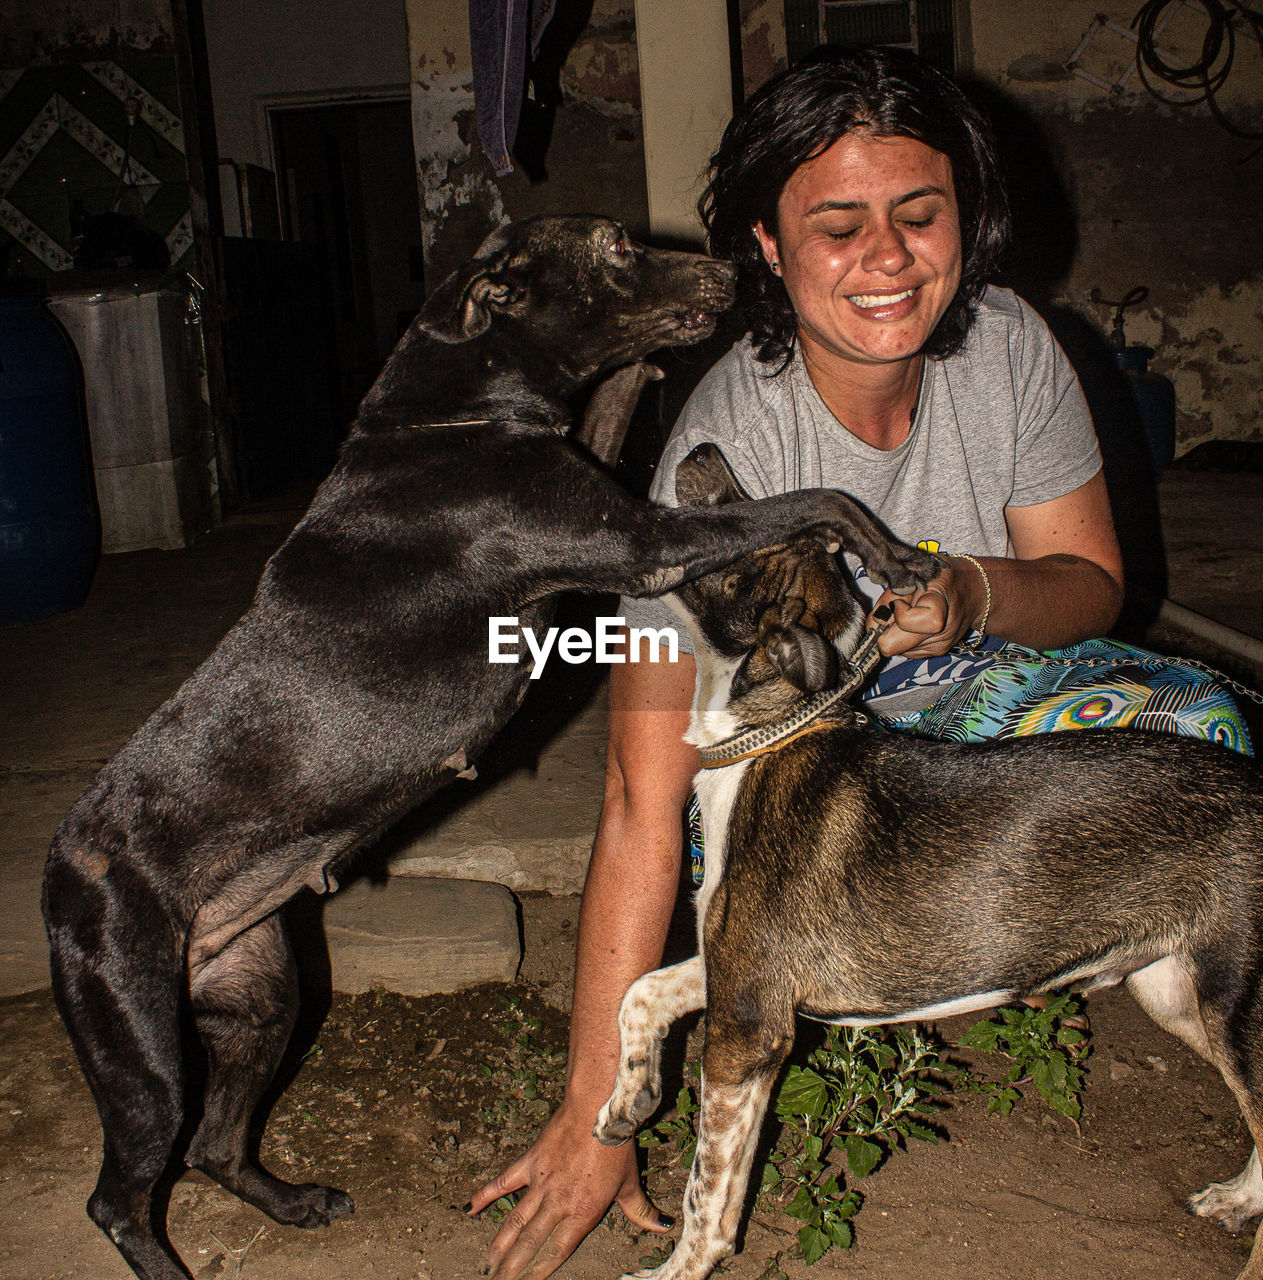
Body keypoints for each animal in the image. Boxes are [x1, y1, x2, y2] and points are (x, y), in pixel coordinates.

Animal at [39, 215, 936, 1274]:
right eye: (615, 248)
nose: (729, 271)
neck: (454, 416)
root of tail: (62, 870)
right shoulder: (642, 541)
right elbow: (821, 498)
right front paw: (886, 554)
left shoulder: (600, 496)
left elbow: (620, 409)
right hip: (143, 1053)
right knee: (121, 1196)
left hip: (260, 996)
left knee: (218, 1144)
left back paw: (294, 1202)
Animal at [596, 442, 1263, 1280]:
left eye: (739, 522)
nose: (703, 450)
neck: (767, 736)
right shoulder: (743, 978)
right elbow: (638, 993)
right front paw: (625, 1105)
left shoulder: (749, 1027)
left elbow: (706, 1193)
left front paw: (675, 1269)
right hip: (1173, 990)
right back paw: (1235, 1197)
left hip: (1229, 1001)